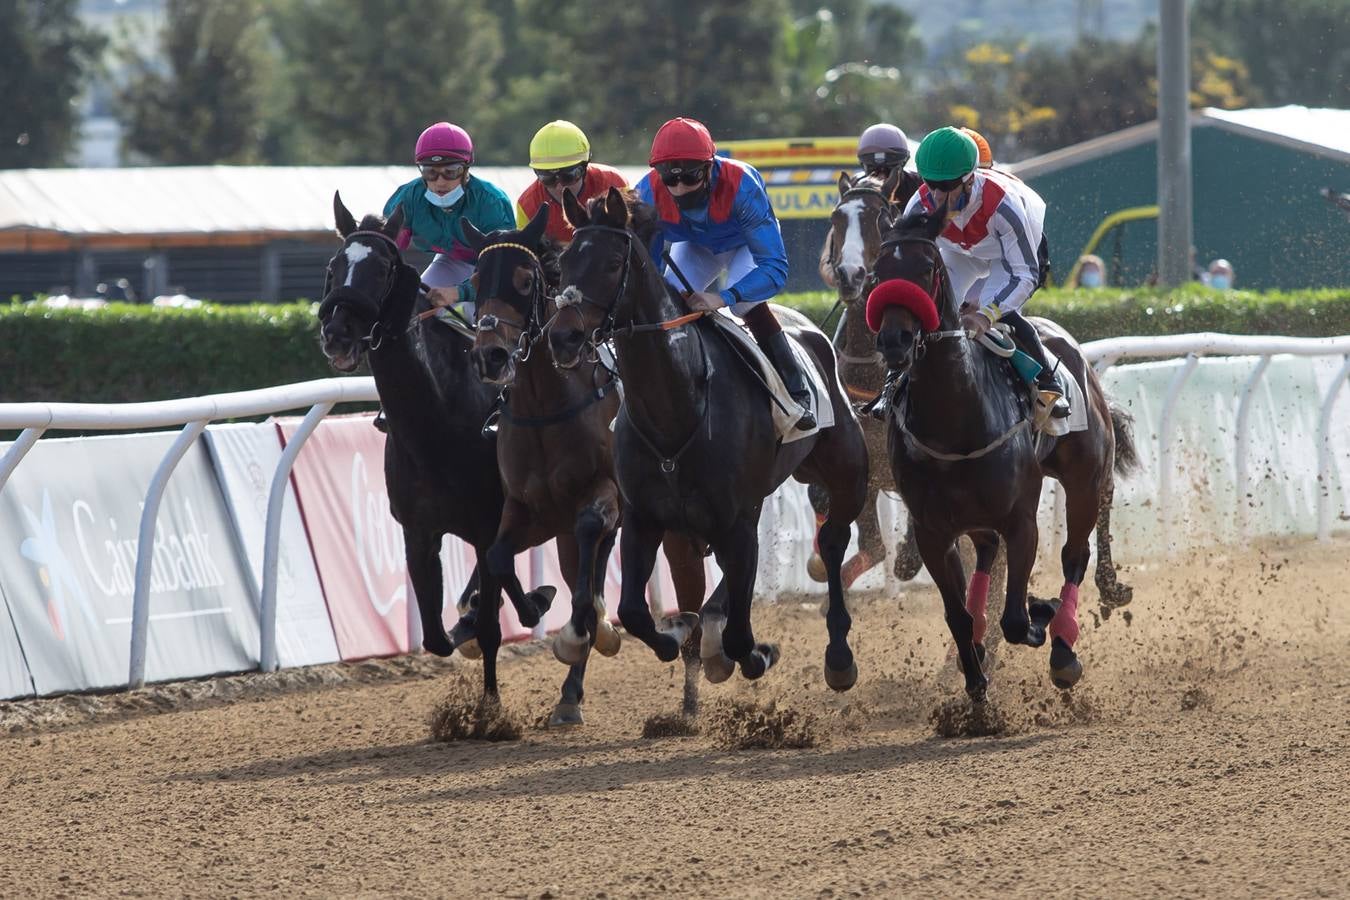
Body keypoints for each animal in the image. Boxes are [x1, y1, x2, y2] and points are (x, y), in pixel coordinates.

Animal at [315, 194, 548, 701]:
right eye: (334, 265)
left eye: (383, 267)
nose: (338, 332)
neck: (436, 423)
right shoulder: (418, 532)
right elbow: (436, 637)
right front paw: (466, 621)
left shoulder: (486, 524)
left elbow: (493, 624)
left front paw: (489, 705)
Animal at [464, 203, 712, 723]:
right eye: (475, 278)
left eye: (524, 280)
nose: (490, 355)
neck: (546, 405)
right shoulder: (528, 508)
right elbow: (497, 555)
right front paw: (534, 606)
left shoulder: (606, 496)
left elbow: (589, 549)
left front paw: (582, 629)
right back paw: (570, 688)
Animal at [553, 188, 869, 690]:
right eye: (563, 262)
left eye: (611, 263)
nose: (563, 337)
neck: (675, 409)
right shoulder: (644, 515)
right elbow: (634, 611)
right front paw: (675, 635)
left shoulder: (733, 519)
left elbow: (740, 633)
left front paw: (753, 653)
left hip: (845, 473)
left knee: (834, 540)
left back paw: (838, 655)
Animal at [864, 206, 1139, 701]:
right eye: (877, 272)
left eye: (928, 269)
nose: (894, 340)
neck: (955, 420)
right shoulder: (933, 529)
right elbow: (957, 614)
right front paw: (974, 685)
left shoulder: (1021, 518)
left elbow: (1015, 618)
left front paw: (1040, 611)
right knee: (988, 554)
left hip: (1085, 478)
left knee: (1076, 554)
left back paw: (1065, 645)